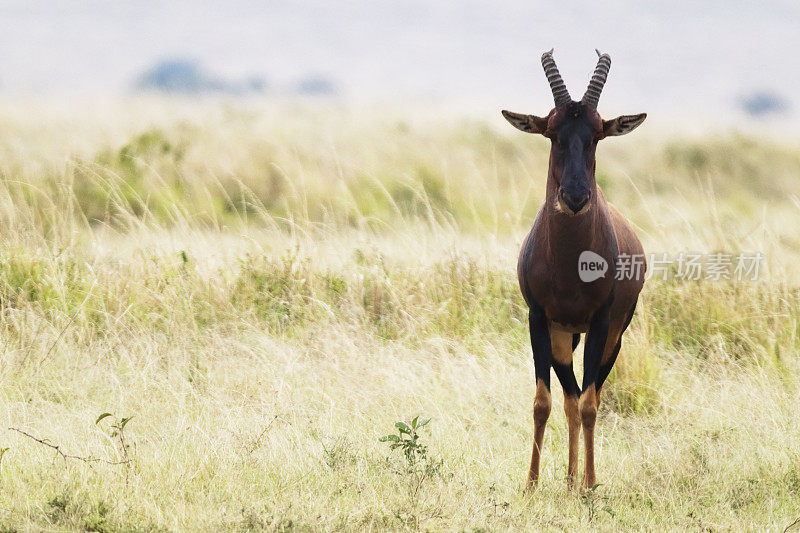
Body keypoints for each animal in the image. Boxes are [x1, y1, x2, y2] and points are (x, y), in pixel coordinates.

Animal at [504, 50, 648, 490]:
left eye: (598, 132)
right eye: (551, 132)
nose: (575, 197)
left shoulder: (601, 321)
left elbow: (589, 404)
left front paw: (590, 487)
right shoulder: (536, 319)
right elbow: (542, 401)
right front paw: (530, 485)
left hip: (612, 335)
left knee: (590, 394)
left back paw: (579, 483)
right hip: (562, 336)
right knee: (568, 395)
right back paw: (566, 481)